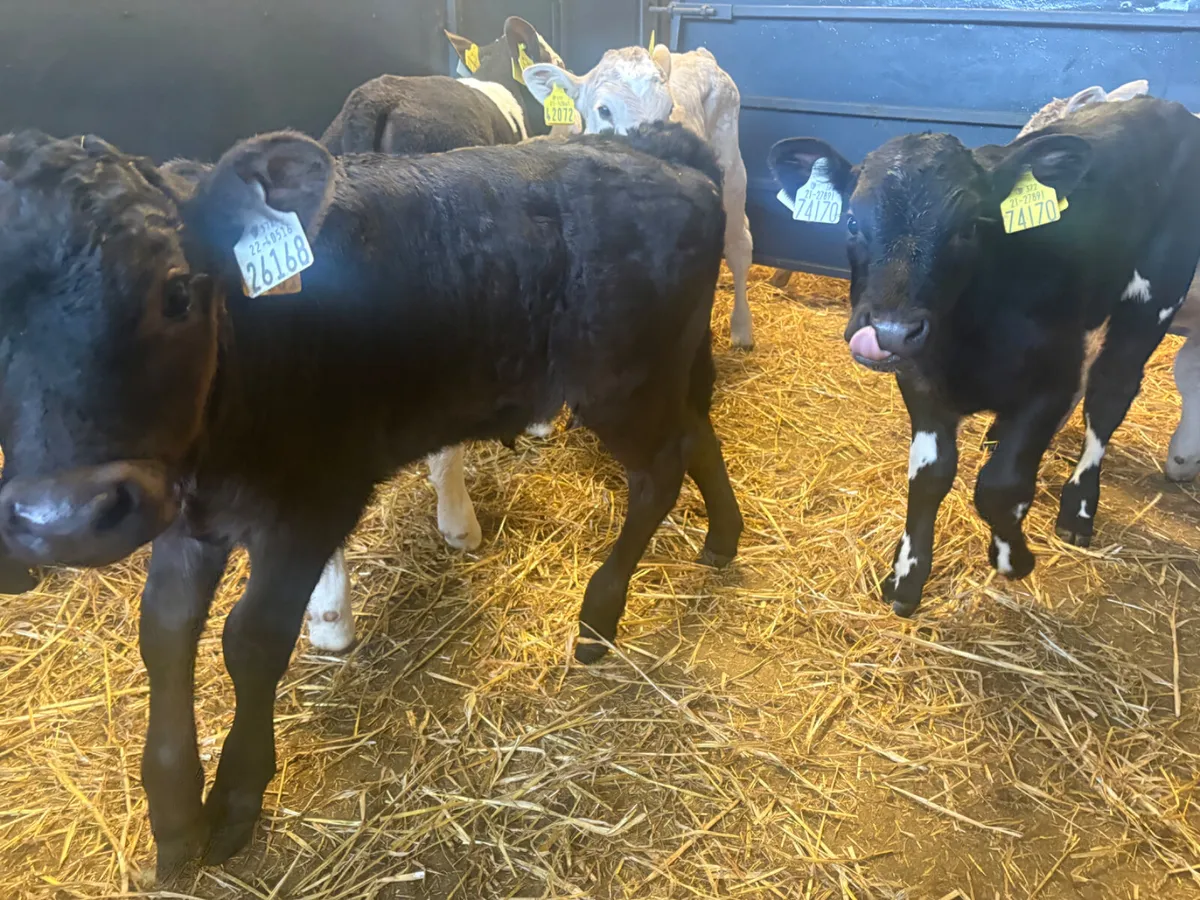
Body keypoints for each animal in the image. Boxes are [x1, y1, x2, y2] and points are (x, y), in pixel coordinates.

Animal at [0, 122, 742, 876]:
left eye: (178, 292)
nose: (63, 518)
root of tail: (656, 150)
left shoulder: (316, 501)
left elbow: (251, 638)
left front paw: (237, 796)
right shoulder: (186, 514)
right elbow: (165, 633)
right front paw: (176, 818)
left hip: (624, 383)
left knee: (660, 475)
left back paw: (600, 614)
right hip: (662, 375)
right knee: (698, 434)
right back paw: (723, 536)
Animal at [523, 44, 757, 349]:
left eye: (669, 109)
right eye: (604, 110)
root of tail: (700, 54)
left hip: (733, 167)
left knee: (739, 244)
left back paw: (742, 328)